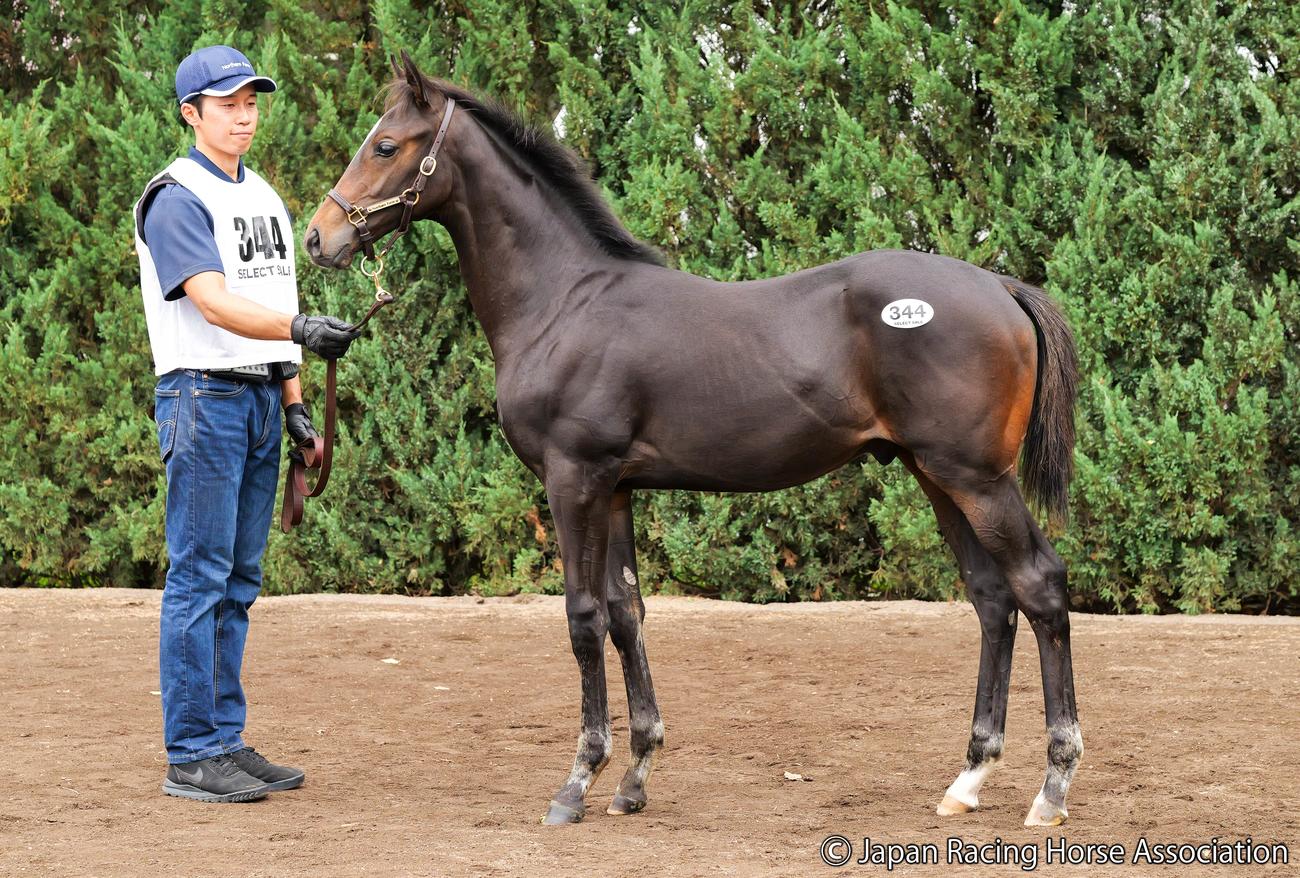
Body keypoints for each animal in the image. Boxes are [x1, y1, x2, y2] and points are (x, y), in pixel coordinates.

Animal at [304, 52, 1083, 828]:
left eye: (385, 145)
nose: (319, 237)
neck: (564, 302)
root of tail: (1000, 286)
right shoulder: (616, 488)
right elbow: (627, 616)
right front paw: (634, 777)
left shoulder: (573, 479)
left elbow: (583, 618)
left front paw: (578, 781)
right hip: (935, 474)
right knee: (992, 600)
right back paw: (969, 778)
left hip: (976, 478)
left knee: (1039, 587)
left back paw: (1052, 786)